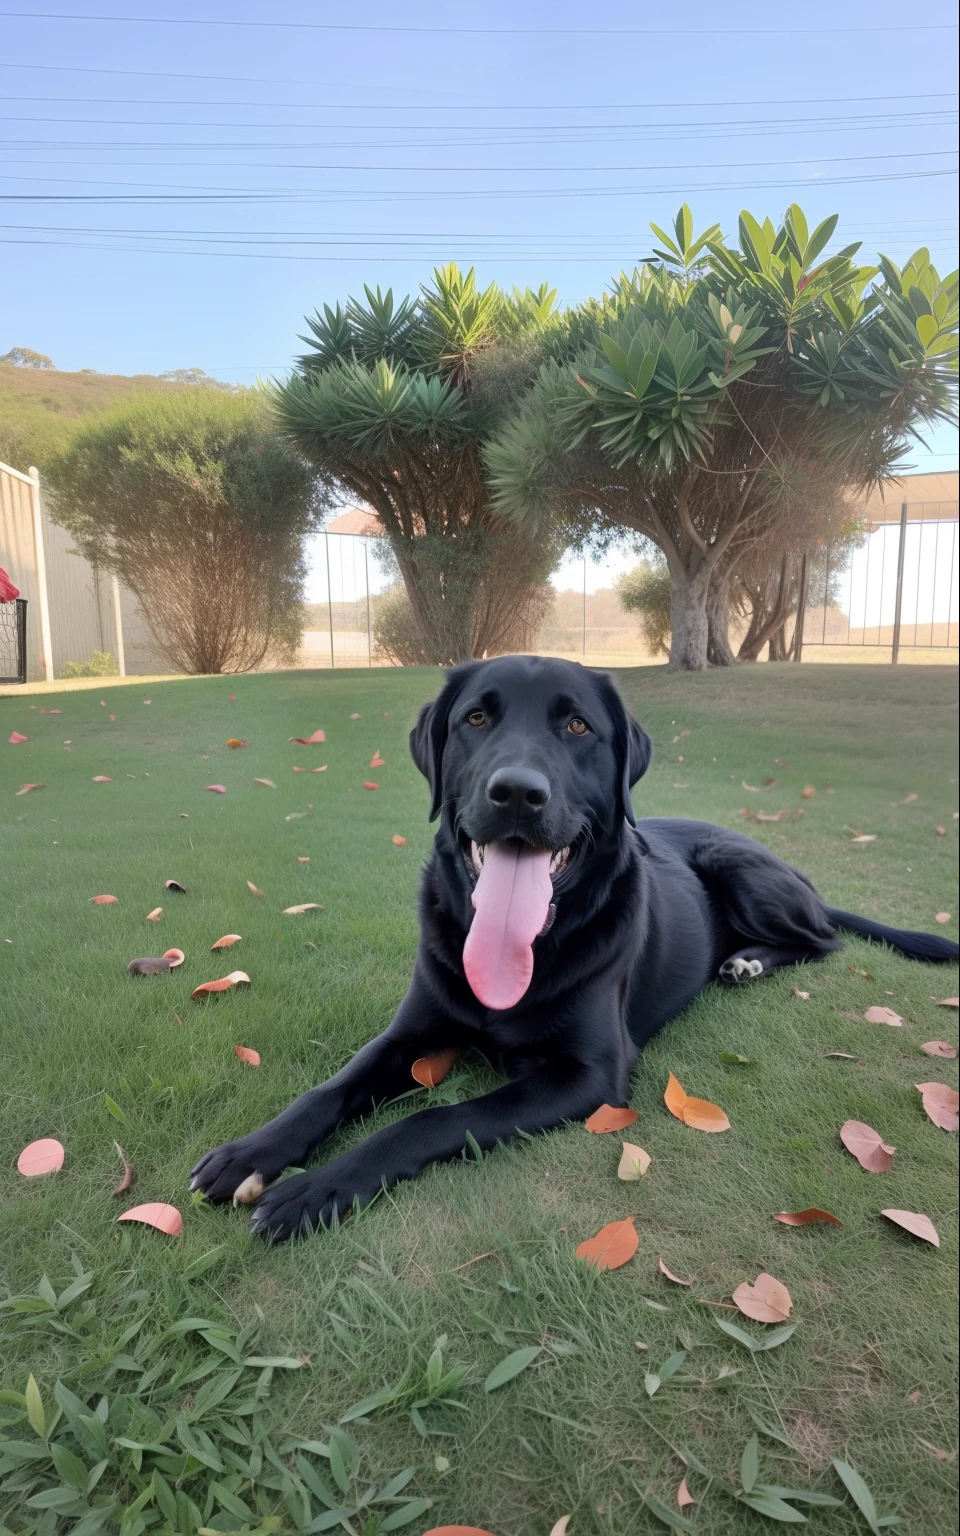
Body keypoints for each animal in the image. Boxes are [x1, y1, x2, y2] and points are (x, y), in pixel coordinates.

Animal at [188, 654, 958, 1241]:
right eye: (475, 719)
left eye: (578, 725)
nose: (516, 793)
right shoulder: (409, 1033)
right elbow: (333, 1085)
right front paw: (253, 1152)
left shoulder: (589, 1077)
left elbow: (437, 1118)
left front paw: (318, 1188)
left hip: (741, 868)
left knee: (822, 941)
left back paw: (748, 960)